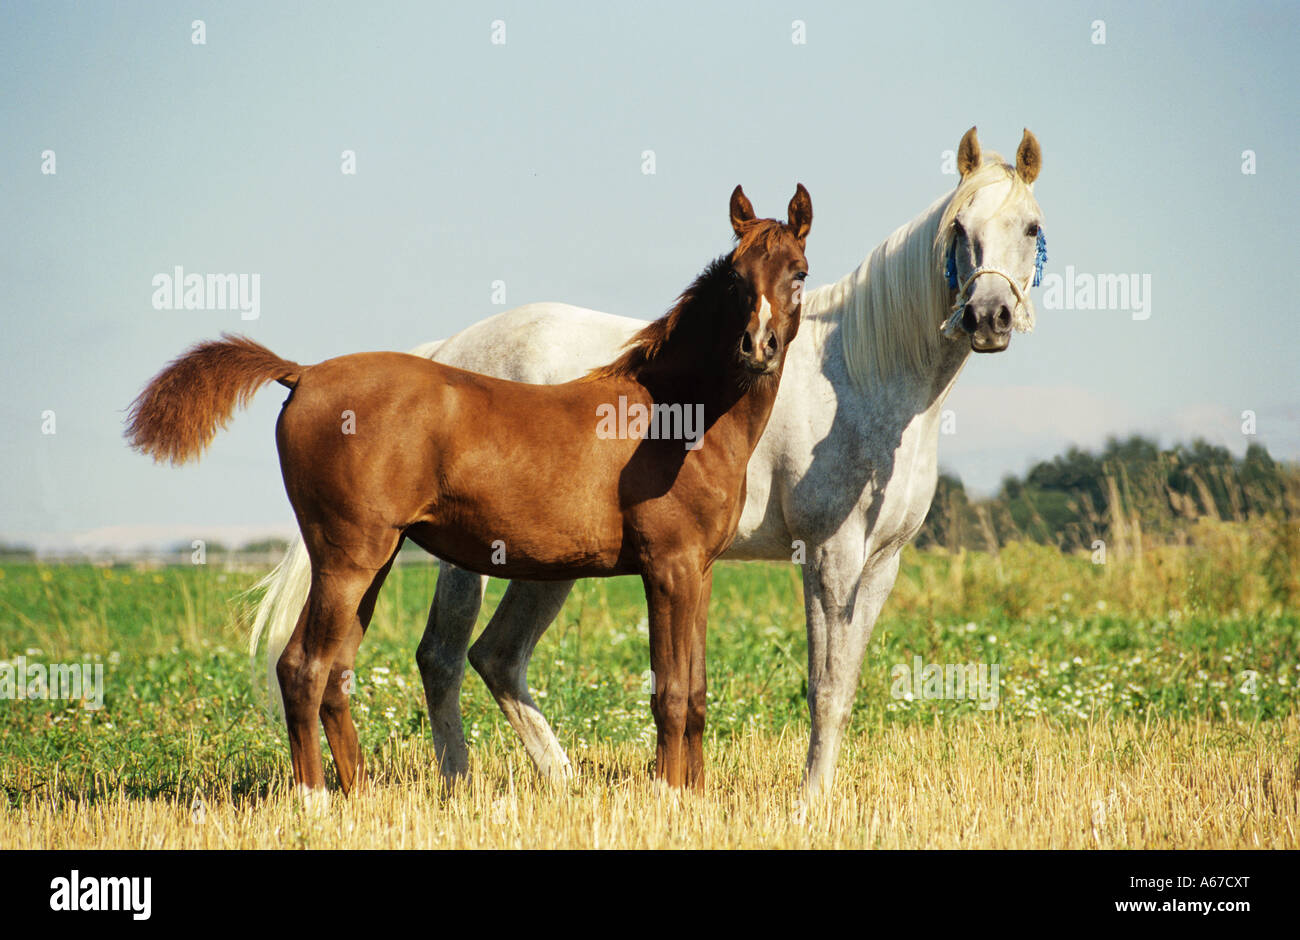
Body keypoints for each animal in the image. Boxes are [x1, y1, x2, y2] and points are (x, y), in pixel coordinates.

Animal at [127, 185, 812, 796]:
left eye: (799, 273)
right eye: (736, 279)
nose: (757, 348)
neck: (675, 413)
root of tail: (304, 373)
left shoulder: (699, 569)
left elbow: (695, 693)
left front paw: (693, 796)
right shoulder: (667, 567)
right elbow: (669, 693)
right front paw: (669, 796)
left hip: (370, 562)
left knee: (338, 674)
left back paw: (362, 794)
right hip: (347, 560)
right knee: (304, 668)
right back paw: (316, 800)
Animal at [256, 126, 1046, 800]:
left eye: (1031, 227)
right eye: (960, 229)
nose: (989, 316)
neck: (862, 372)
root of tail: (446, 348)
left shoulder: (877, 561)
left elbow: (829, 683)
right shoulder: (824, 555)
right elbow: (812, 685)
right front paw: (806, 801)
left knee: (480, 659)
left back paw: (543, 780)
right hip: (439, 559)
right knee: (429, 659)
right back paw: (431, 786)